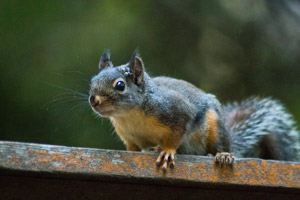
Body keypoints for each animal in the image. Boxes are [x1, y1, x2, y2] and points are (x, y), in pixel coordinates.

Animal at [88, 49, 300, 169]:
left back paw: (224, 155)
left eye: (120, 85)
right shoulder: (129, 137)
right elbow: (132, 150)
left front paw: (167, 151)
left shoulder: (177, 112)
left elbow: (176, 134)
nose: (93, 100)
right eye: (93, 81)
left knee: (221, 146)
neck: (129, 115)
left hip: (215, 127)